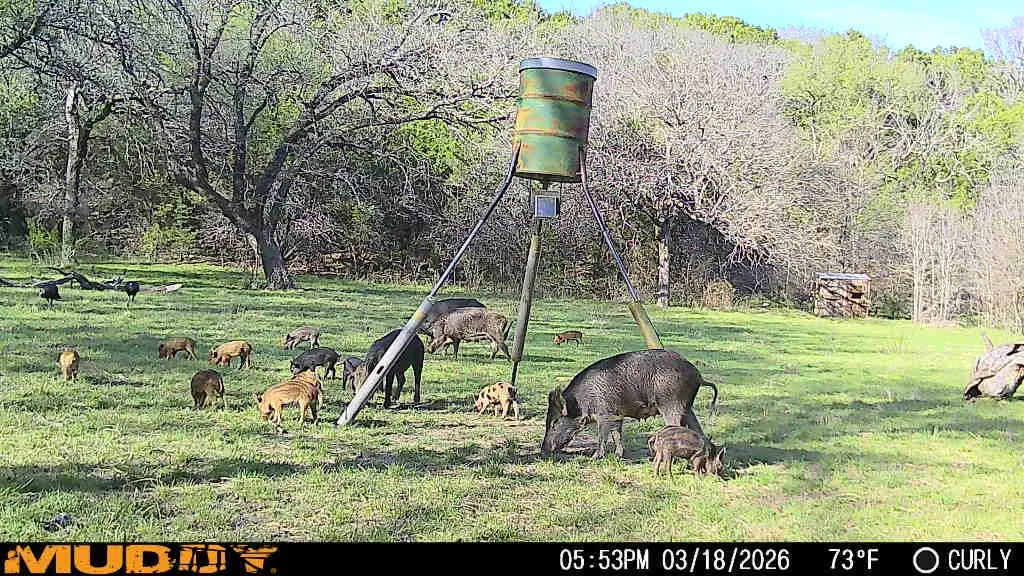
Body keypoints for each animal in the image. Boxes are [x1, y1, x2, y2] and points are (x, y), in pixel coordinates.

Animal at [541, 349, 719, 459]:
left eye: (554, 422)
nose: (543, 450)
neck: (581, 403)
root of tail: (698, 375)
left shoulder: (605, 415)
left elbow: (602, 436)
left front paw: (595, 457)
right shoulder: (617, 415)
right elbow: (617, 435)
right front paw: (618, 455)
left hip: (671, 404)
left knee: (677, 427)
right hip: (687, 407)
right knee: (698, 430)